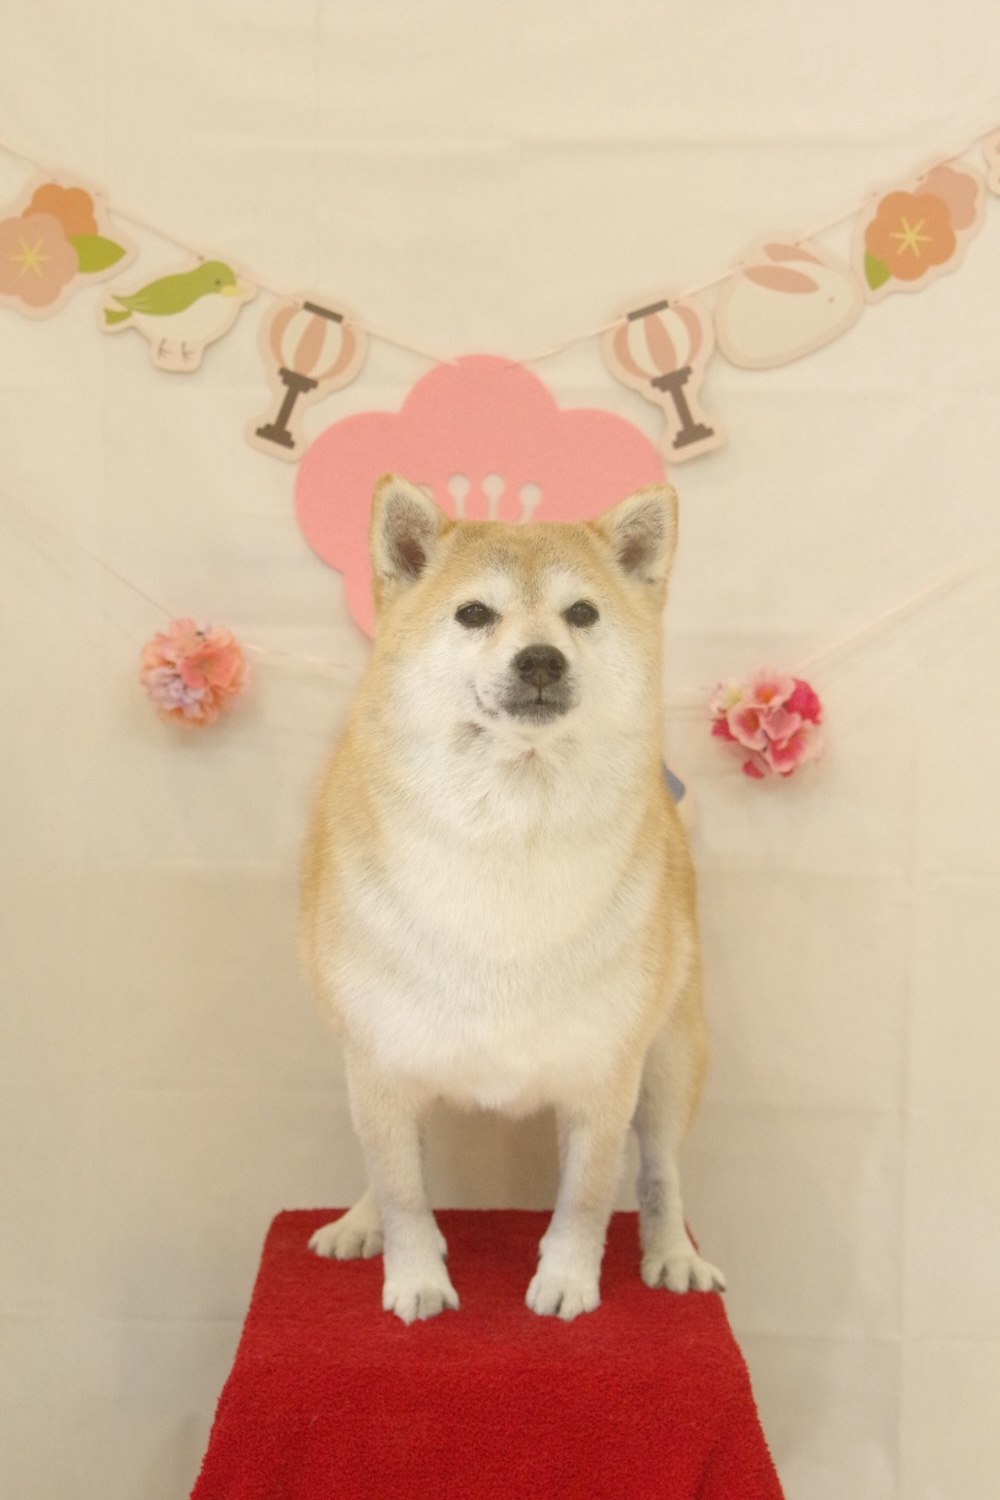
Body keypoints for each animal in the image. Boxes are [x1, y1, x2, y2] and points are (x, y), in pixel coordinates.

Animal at [302, 473, 724, 1322]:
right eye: (474, 614)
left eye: (582, 614)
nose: (540, 659)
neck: (509, 830)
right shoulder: (381, 1063)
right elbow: (403, 1191)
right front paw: (415, 1277)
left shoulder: (606, 1073)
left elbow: (587, 1199)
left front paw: (566, 1281)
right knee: (385, 1167)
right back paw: (360, 1221)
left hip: (670, 1058)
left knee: (660, 1171)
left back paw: (671, 1254)